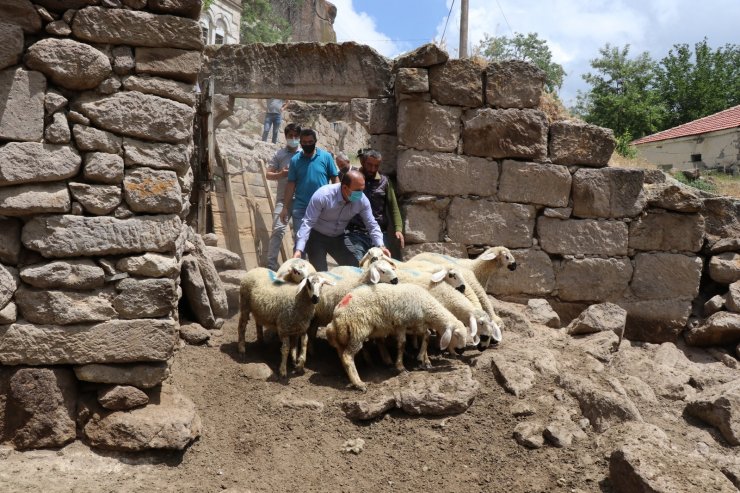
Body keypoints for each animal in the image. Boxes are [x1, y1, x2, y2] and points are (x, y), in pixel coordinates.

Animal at [326, 282, 468, 390]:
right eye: (457, 335)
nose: (462, 349)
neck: (426, 306)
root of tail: (337, 315)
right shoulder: (402, 324)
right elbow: (402, 344)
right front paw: (401, 366)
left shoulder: (416, 325)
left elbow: (426, 336)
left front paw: (422, 359)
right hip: (358, 329)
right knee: (347, 357)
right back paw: (359, 383)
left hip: (345, 337)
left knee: (342, 355)